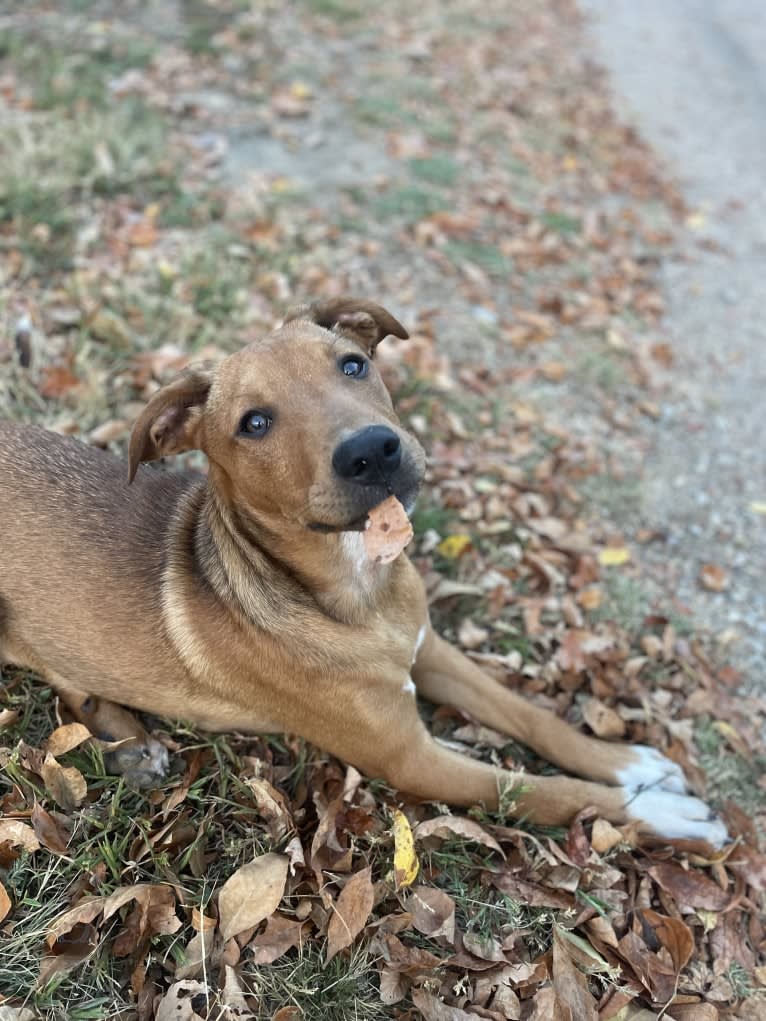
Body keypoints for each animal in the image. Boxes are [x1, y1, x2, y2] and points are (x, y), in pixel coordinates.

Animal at [0, 298, 731, 845]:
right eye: (254, 423)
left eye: (353, 364)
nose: (373, 450)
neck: (360, 589)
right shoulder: (408, 756)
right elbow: (535, 789)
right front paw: (657, 811)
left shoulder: (428, 649)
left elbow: (532, 716)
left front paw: (633, 763)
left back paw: (130, 740)